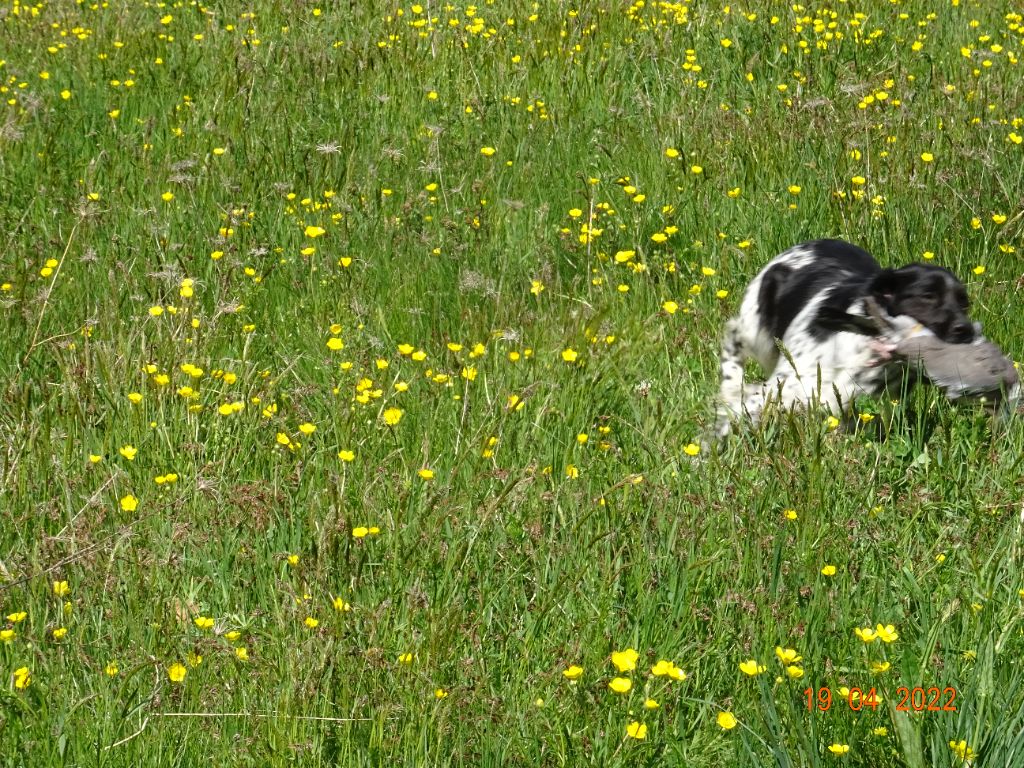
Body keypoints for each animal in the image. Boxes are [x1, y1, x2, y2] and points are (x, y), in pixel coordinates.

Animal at [716, 237, 970, 436]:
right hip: (757, 333)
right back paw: (730, 384)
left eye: (964, 303)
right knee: (733, 337)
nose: (965, 330)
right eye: (928, 296)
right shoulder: (783, 388)